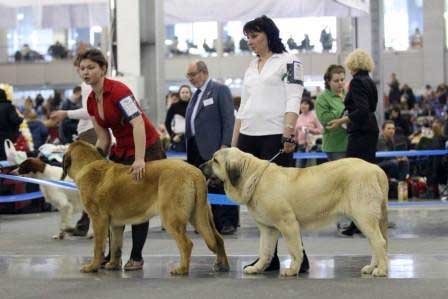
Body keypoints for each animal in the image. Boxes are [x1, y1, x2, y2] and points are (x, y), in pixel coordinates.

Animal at [61, 141, 229, 276]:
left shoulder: (98, 220)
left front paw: (92, 266)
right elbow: (116, 246)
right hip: (200, 215)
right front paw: (113, 265)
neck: (87, 165)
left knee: (187, 244)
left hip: (172, 218)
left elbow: (98, 246)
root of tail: (195, 172)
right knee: (218, 239)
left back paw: (182, 269)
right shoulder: (116, 225)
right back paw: (222, 265)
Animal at [200, 149, 388, 278]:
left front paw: (292, 270)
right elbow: (265, 251)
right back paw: (372, 267)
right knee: (374, 243)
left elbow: (295, 249)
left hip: (364, 217)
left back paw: (381, 270)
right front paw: (257, 268)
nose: (201, 166)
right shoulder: (268, 229)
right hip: (363, 220)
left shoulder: (288, 224)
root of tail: (376, 169)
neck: (254, 177)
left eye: (215, 160)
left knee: (380, 242)